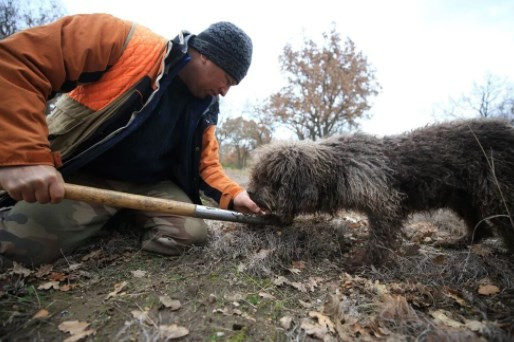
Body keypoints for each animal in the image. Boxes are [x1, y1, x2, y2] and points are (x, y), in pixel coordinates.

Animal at [247, 119, 512, 264]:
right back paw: (459, 242)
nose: (250, 194)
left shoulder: (383, 200)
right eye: (256, 176)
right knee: (480, 226)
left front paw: (365, 261)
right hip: (464, 197)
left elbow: (380, 236)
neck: (339, 166)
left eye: (269, 180)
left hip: (497, 195)